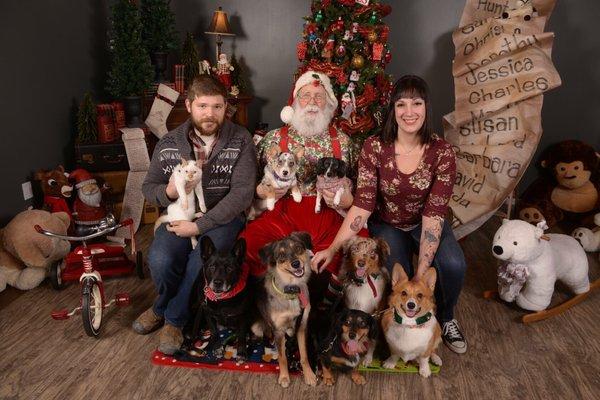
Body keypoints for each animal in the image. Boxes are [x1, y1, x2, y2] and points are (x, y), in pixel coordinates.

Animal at [251, 231, 318, 388]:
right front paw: (284, 377)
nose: (296, 264)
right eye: (281, 256)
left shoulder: (302, 325)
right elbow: (282, 358)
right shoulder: (279, 330)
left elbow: (304, 355)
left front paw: (309, 374)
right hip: (257, 327)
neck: (291, 291)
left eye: (298, 248)